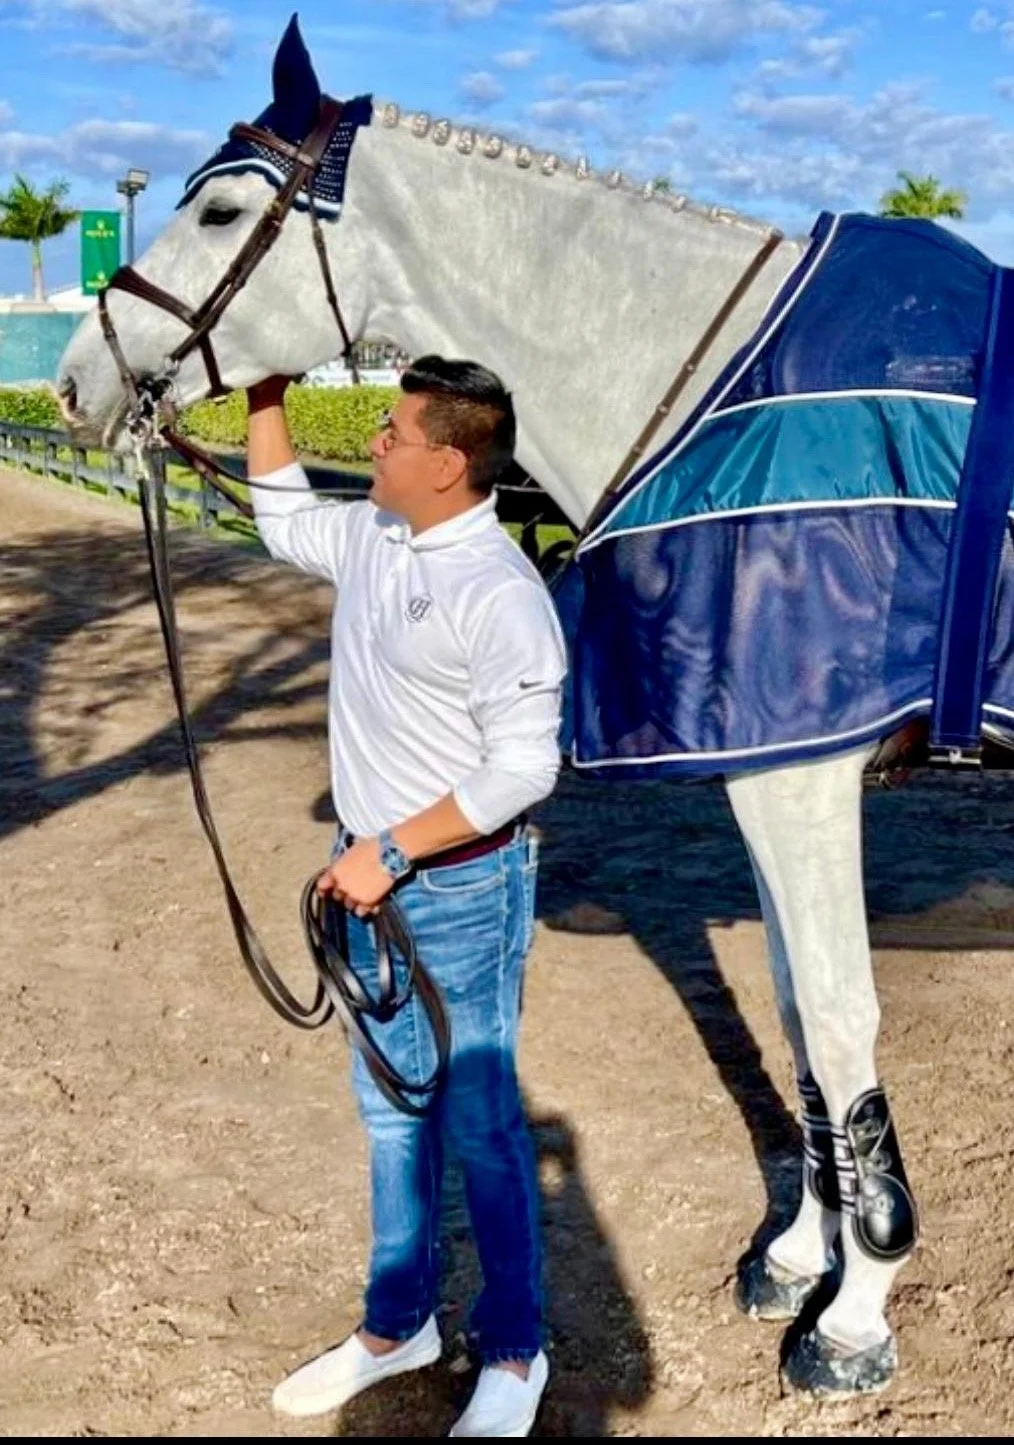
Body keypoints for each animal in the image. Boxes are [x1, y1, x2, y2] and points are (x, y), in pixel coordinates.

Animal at [58, 15, 1005, 1400]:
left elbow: (837, 1021)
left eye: (223, 207)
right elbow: (792, 1013)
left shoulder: (802, 774)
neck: (715, 391)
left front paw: (855, 1313)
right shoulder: (771, 774)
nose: (77, 380)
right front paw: (794, 1256)